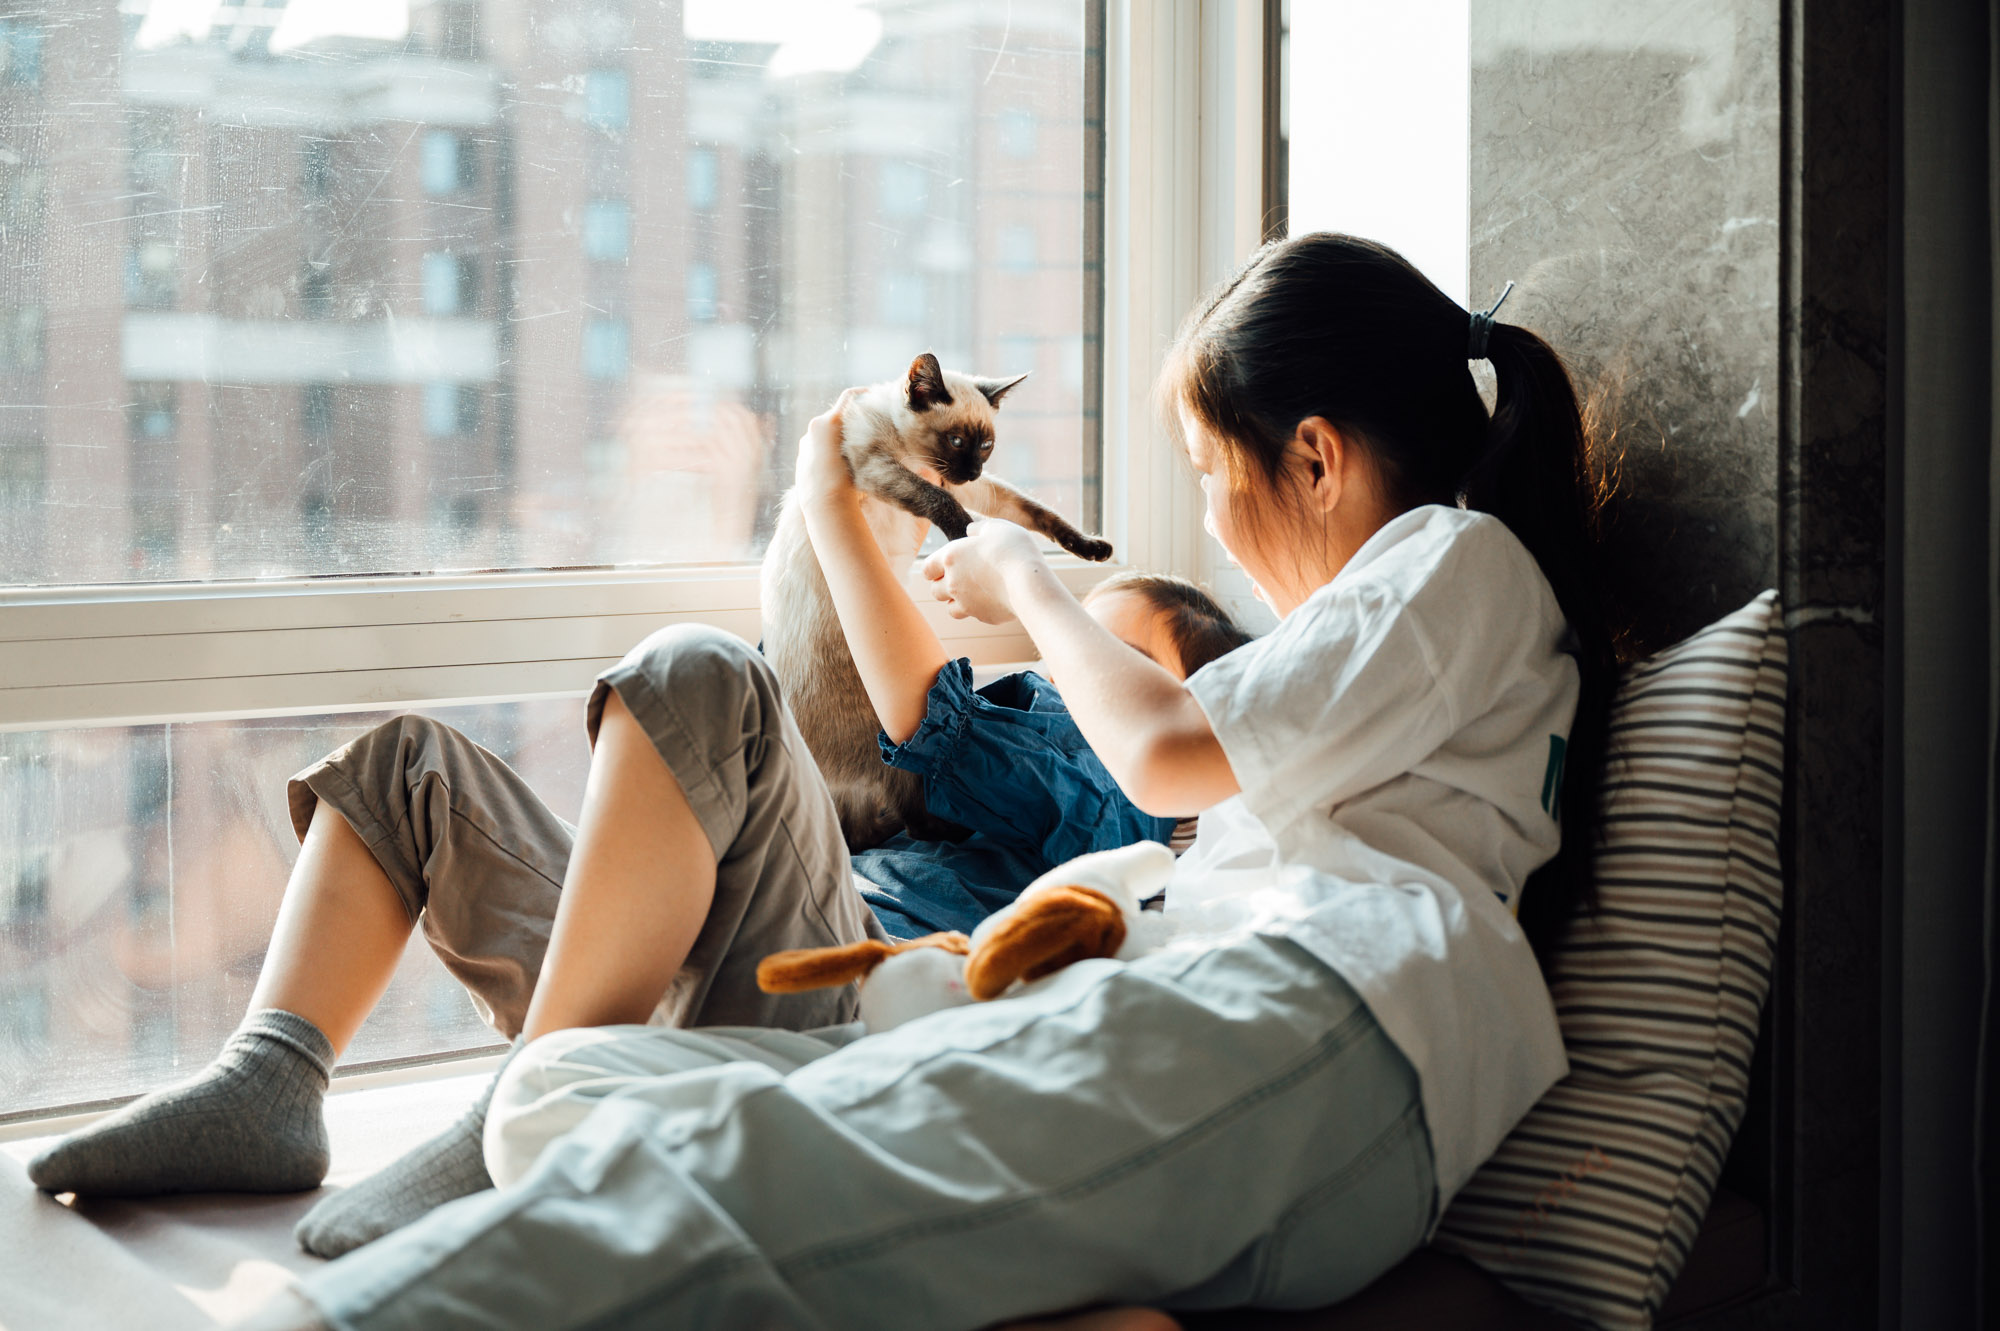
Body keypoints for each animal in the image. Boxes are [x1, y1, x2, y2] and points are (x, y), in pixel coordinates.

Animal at [760, 351, 1120, 851]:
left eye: (985, 445)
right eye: (955, 440)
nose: (972, 469)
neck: (913, 451)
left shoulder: (976, 490)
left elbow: (1038, 514)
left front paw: (1091, 548)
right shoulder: (886, 470)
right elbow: (942, 504)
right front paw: (967, 536)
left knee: (882, 827)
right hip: (895, 741)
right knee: (907, 820)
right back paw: (955, 832)